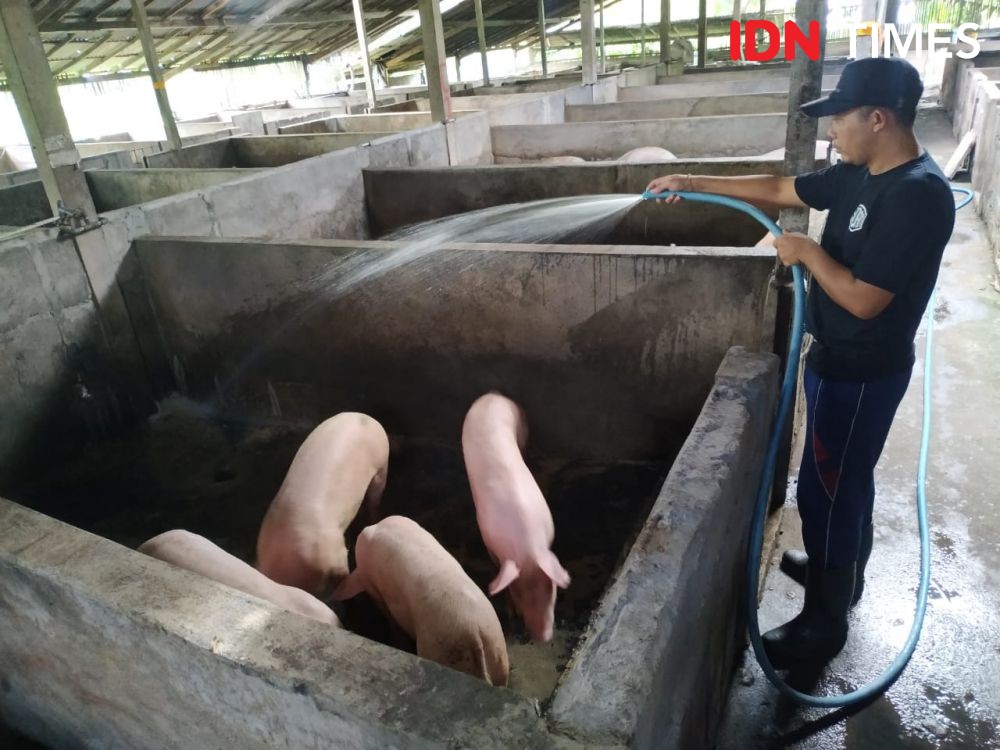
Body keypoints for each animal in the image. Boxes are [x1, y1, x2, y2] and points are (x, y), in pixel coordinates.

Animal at [460, 390, 572, 644]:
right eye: (518, 593)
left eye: (551, 590)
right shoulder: (490, 544)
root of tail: (492, 395)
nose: (543, 637)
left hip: (522, 426)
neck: (527, 545)